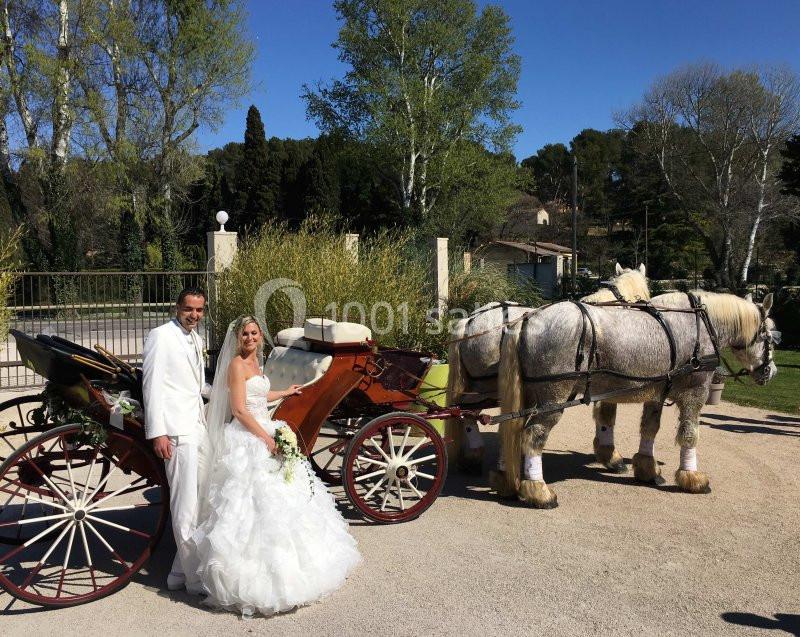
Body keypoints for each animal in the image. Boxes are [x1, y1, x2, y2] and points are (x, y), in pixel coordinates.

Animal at [445, 263, 650, 475]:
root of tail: (469, 322)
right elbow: (606, 417)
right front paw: (612, 457)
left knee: (466, 411)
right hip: (484, 387)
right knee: (469, 412)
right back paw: (477, 455)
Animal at [497, 291, 778, 508]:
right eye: (770, 337)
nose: (771, 372)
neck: (699, 324)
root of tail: (526, 320)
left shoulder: (656, 392)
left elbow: (650, 429)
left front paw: (647, 469)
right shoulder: (695, 392)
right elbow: (689, 436)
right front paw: (692, 477)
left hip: (529, 397)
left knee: (511, 430)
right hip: (553, 399)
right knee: (533, 435)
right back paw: (539, 491)